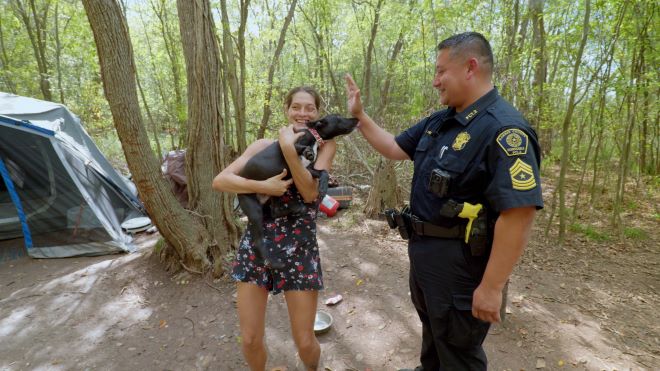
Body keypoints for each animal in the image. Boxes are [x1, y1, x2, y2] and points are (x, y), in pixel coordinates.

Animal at [238, 115, 358, 268]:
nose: (356, 119)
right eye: (338, 117)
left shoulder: (308, 170)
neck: (314, 137)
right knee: (259, 241)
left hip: (274, 193)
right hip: (254, 210)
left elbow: (323, 172)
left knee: (275, 211)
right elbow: (297, 147)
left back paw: (296, 208)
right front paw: (307, 151)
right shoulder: (287, 146)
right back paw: (272, 262)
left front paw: (323, 185)